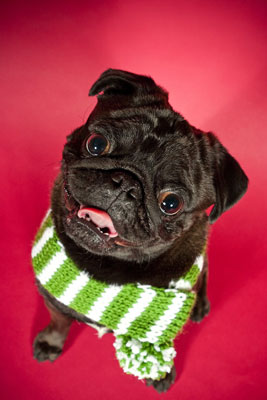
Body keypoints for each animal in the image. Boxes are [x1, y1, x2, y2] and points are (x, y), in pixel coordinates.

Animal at [33, 68, 249, 390]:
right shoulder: (53, 296)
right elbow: (59, 320)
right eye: (96, 144)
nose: (125, 183)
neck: (106, 267)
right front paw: (51, 342)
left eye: (170, 203)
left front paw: (161, 373)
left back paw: (200, 306)